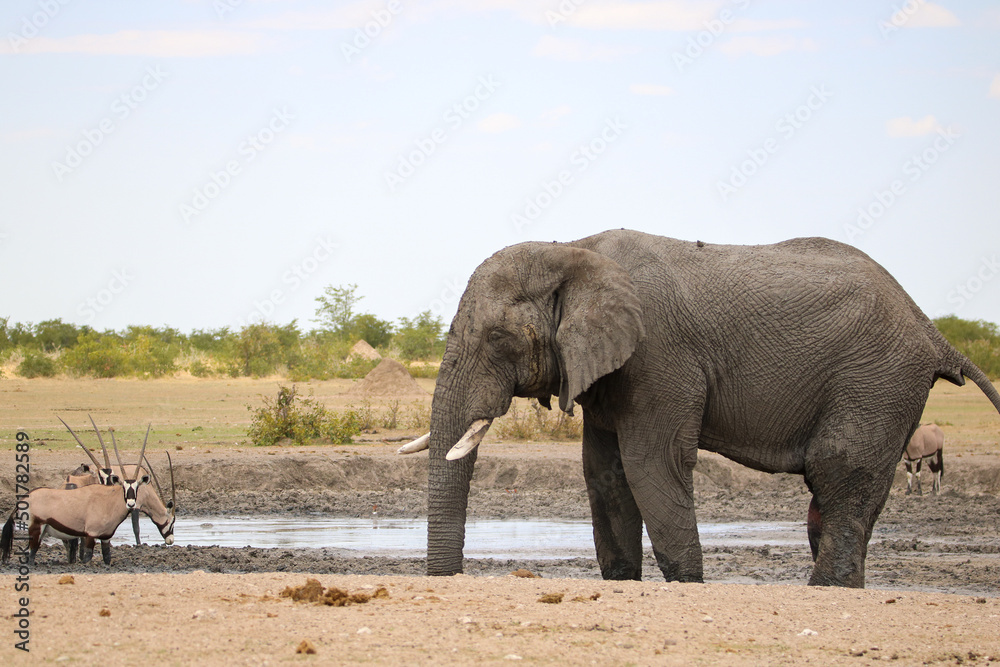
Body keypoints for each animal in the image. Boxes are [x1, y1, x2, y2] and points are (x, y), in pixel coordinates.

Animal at [400, 229, 1000, 588]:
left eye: (498, 338)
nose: (451, 580)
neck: (573, 246)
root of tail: (930, 328)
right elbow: (605, 473)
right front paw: (624, 585)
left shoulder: (659, 355)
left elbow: (651, 464)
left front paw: (687, 585)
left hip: (877, 378)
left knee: (839, 474)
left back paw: (826, 591)